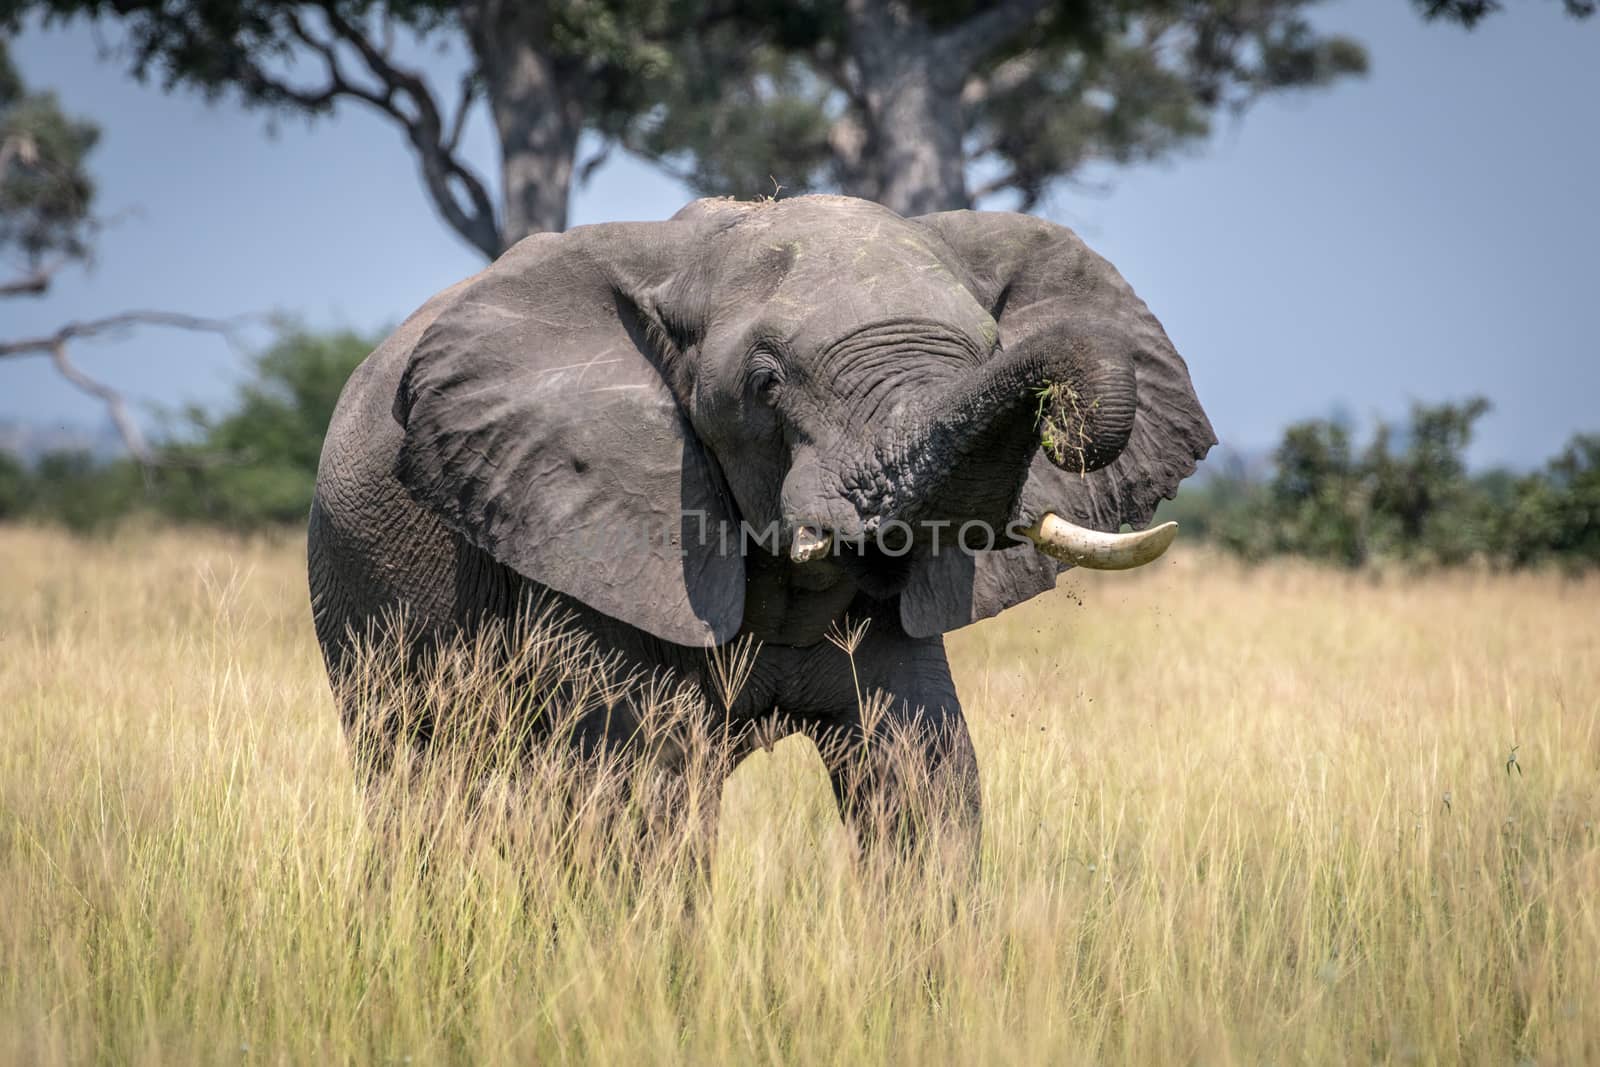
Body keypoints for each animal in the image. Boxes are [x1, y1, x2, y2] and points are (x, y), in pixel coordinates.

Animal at [308, 195, 1209, 857]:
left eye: (990, 347)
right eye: (766, 383)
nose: (1058, 395)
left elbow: (925, 776)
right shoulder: (594, 539)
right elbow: (646, 790)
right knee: (423, 781)